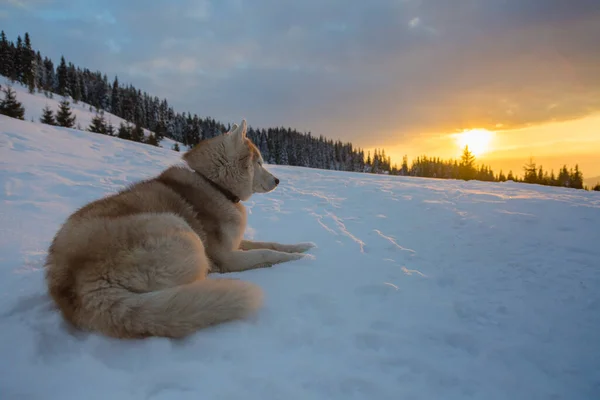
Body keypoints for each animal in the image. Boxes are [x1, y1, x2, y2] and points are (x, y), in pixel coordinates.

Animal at [44, 119, 314, 338]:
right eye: (258, 162)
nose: (278, 180)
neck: (214, 185)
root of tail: (76, 284)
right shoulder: (228, 256)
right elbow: (265, 253)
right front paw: (298, 259)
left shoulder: (236, 242)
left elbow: (271, 243)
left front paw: (302, 246)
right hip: (183, 234)